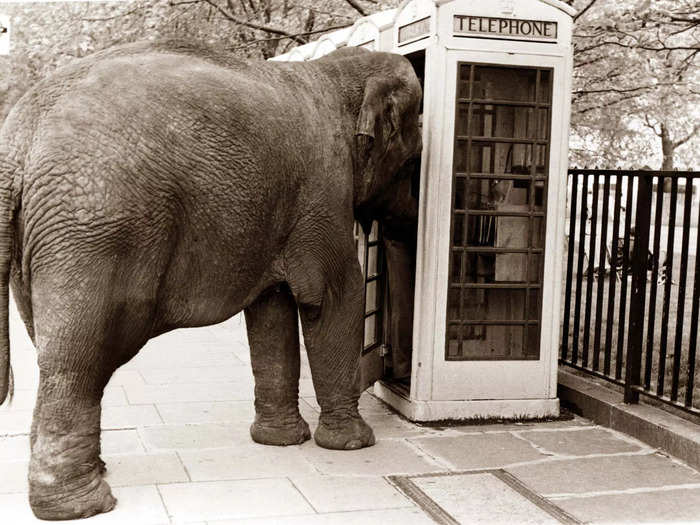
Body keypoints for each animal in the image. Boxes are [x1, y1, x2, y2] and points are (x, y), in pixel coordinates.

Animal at [0, 42, 422, 520]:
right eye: (412, 164)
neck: (333, 72)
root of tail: (18, 139)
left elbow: (272, 310)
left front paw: (279, 442)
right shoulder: (323, 190)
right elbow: (331, 297)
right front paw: (352, 445)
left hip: (41, 243)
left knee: (53, 347)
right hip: (96, 229)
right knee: (77, 360)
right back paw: (84, 505)